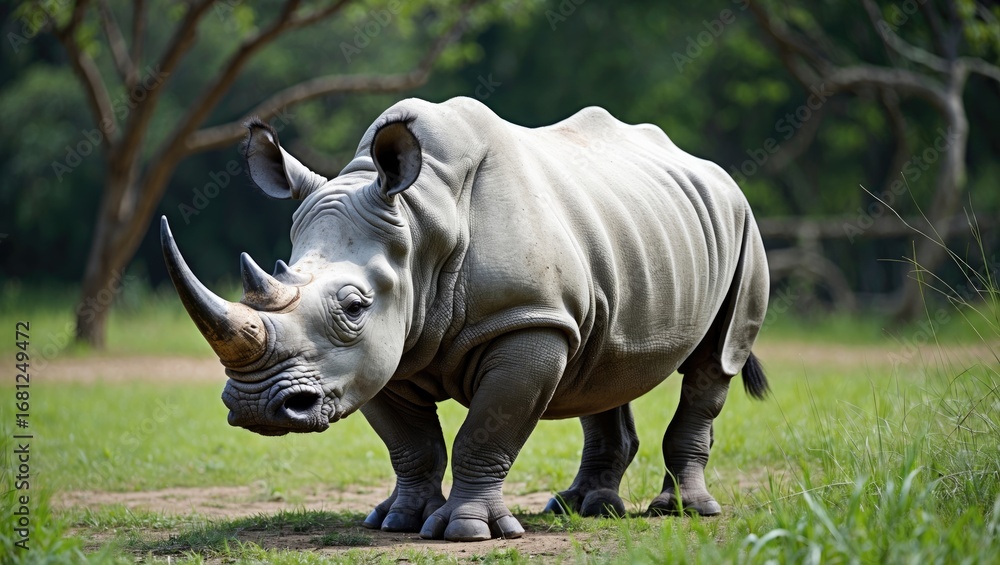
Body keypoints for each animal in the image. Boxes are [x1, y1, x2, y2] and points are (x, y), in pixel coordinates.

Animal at [160, 96, 769, 542]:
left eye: (353, 307)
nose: (256, 407)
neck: (420, 222)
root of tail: (707, 168)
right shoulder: (379, 352)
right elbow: (411, 443)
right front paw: (396, 521)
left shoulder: (528, 320)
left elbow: (485, 431)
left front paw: (466, 531)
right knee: (603, 361)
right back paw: (581, 509)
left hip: (742, 221)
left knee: (714, 361)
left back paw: (684, 512)